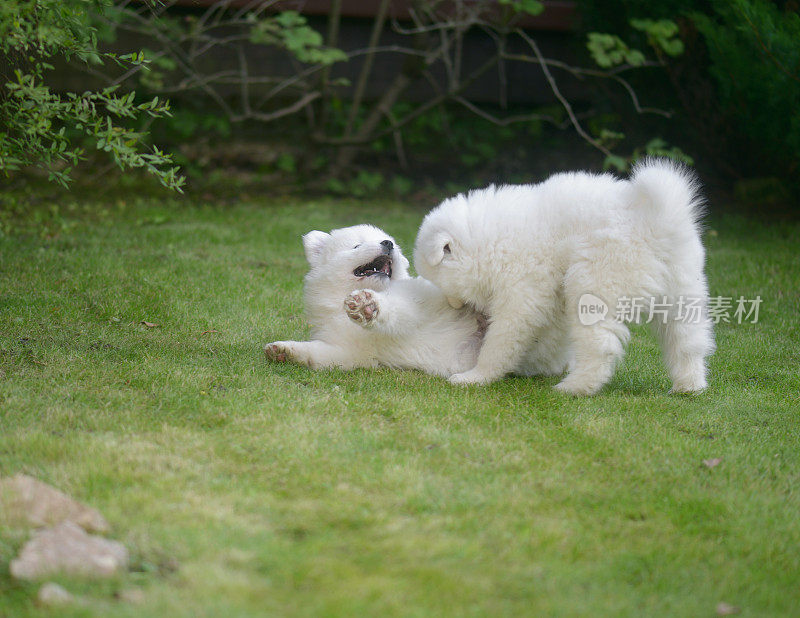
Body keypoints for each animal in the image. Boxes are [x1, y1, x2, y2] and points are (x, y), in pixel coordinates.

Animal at [266, 223, 484, 376]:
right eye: (357, 245)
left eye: (389, 241)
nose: (388, 243)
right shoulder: (349, 350)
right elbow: (319, 353)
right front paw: (284, 351)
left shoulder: (411, 300)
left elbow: (396, 308)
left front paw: (367, 306)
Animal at [416, 156, 716, 392]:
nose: (455, 306)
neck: (491, 239)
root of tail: (658, 220)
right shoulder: (550, 296)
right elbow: (548, 337)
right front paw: (542, 365)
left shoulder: (522, 292)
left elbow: (501, 340)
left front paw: (476, 377)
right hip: (684, 292)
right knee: (689, 342)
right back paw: (689, 386)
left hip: (593, 283)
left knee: (601, 347)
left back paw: (575, 387)